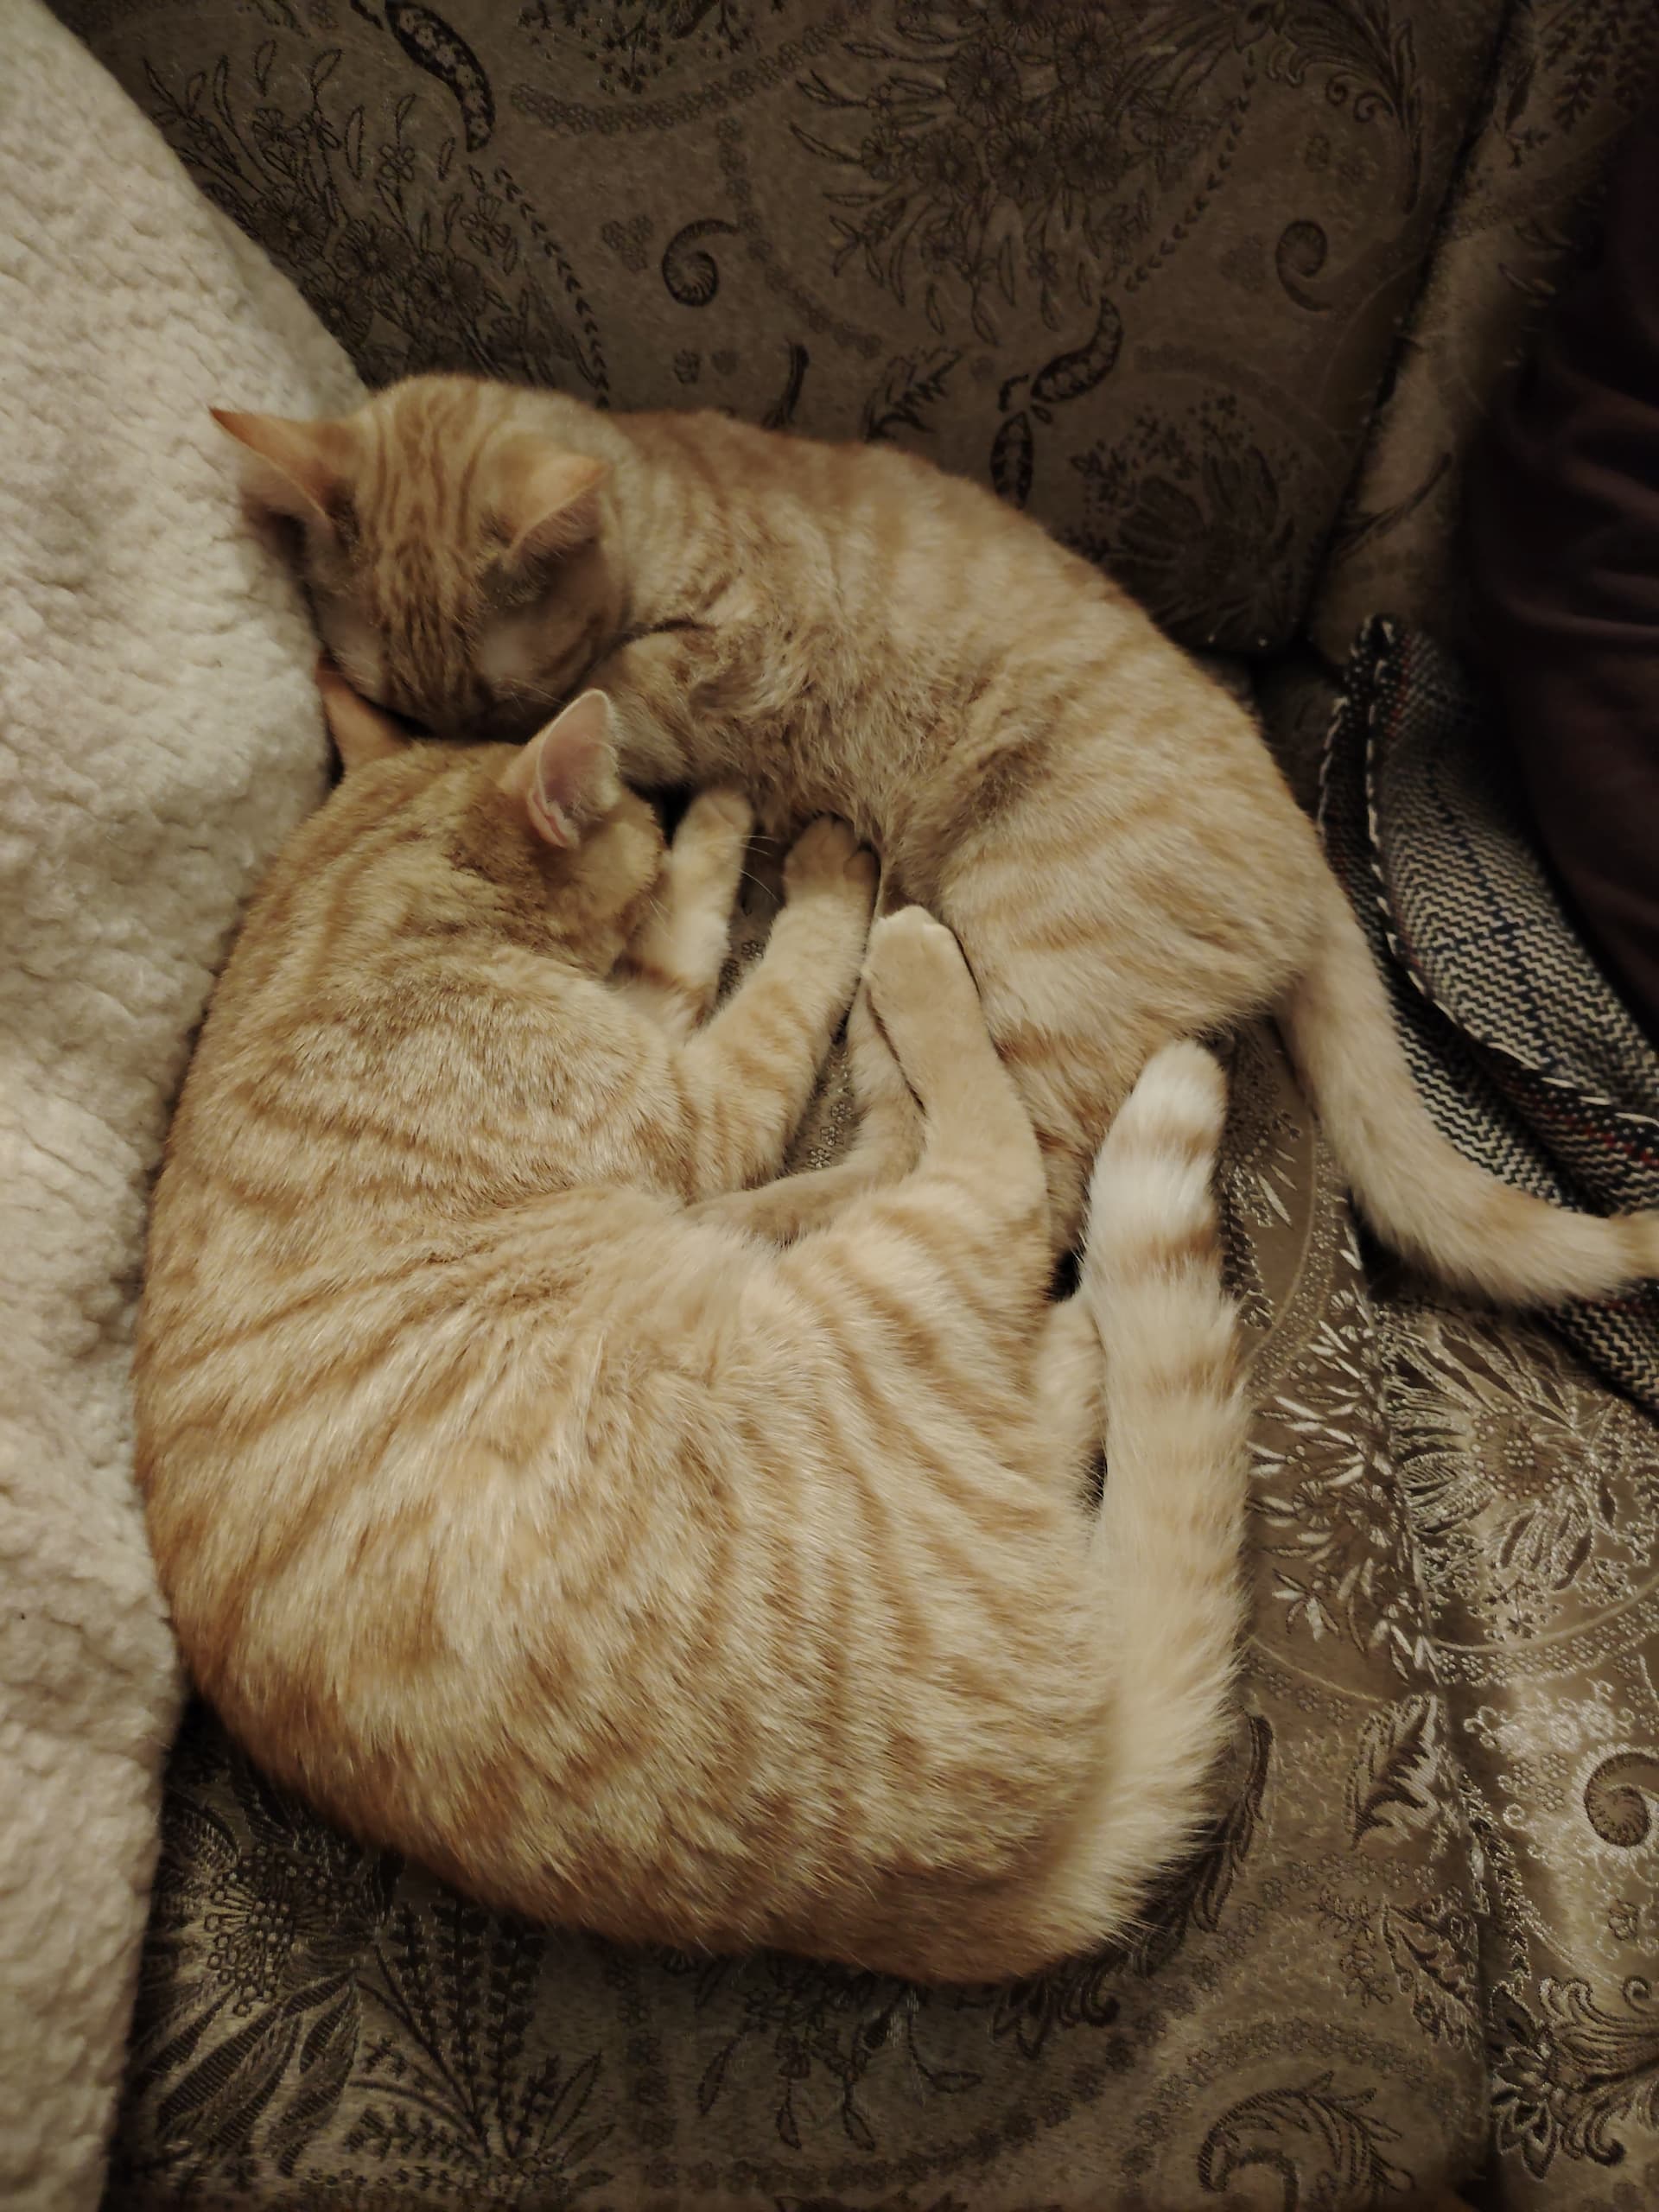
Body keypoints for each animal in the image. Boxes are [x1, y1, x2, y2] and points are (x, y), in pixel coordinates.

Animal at [133, 666, 1250, 1984]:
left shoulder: (654, 1024)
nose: (660, 804)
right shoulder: (701, 1097)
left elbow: (680, 944)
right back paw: (924, 974)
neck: (342, 937)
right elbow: (778, 972)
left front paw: (716, 821)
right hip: (875, 1276)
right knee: (1013, 1199)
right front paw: (792, 865)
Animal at [212, 379, 1659, 1306]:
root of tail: (1317, 854)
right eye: (409, 706)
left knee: (1015, 1187)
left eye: (501, 703)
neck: (660, 509)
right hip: (909, 978)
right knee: (906, 1149)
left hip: (1036, 964)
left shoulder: (720, 653)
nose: (477, 761)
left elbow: (633, 692)